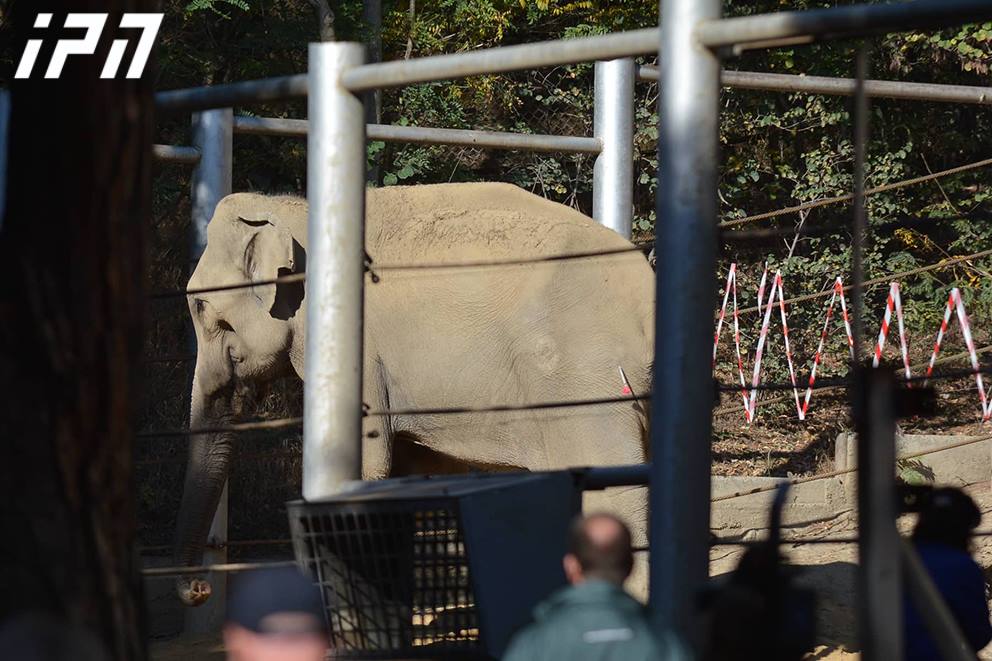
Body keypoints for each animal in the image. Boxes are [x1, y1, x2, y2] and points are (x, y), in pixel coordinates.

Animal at [175, 182, 655, 605]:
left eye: (200, 307)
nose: (197, 590)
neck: (298, 212)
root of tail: (645, 297)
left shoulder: (355, 348)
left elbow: (368, 464)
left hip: (579, 374)